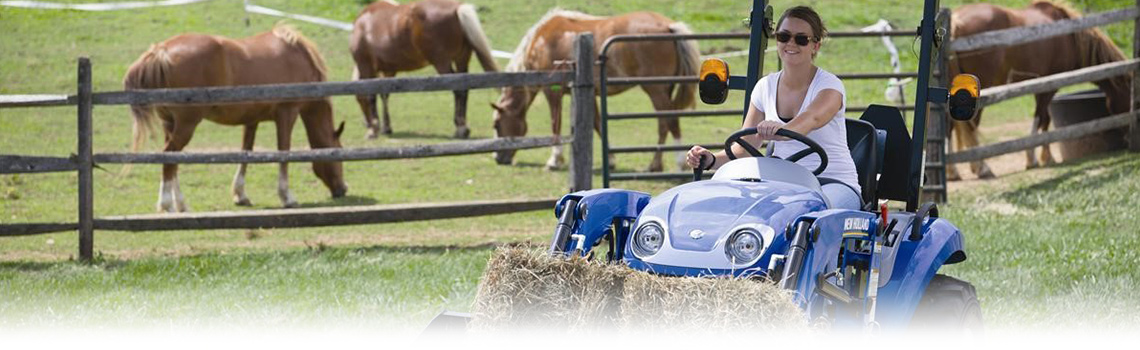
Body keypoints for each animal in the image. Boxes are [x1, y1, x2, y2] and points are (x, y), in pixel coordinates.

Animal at [124, 25, 344, 214]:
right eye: (339, 154)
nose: (342, 190)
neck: (298, 57)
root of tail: (160, 51)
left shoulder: (251, 120)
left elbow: (245, 152)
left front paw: (240, 195)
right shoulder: (287, 114)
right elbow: (283, 153)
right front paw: (287, 197)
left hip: (170, 124)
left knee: (173, 159)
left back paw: (181, 204)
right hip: (186, 125)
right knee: (169, 156)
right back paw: (167, 205)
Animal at [351, 0, 499, 139]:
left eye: (358, 100)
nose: (365, 123)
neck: (364, 24)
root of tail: (457, 8)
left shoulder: (366, 66)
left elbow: (371, 95)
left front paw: (373, 129)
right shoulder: (388, 71)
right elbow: (384, 95)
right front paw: (386, 128)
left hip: (442, 63)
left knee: (457, 90)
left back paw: (461, 128)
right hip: (462, 59)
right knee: (463, 90)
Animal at [487, 9, 693, 171]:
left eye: (497, 124)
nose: (497, 159)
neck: (541, 42)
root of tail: (669, 26)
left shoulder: (552, 92)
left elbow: (555, 124)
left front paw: (554, 160)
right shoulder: (591, 94)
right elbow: (597, 123)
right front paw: (610, 160)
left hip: (656, 90)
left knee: (671, 121)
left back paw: (680, 162)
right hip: (664, 90)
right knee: (663, 124)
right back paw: (655, 165)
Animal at [948, 0, 1126, 181]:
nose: (1127, 137)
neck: (1069, 35)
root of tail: (956, 21)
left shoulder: (1041, 86)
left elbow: (1044, 119)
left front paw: (1043, 157)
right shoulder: (1049, 86)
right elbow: (1042, 119)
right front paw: (1037, 159)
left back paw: (953, 171)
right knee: (970, 126)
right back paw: (982, 168)